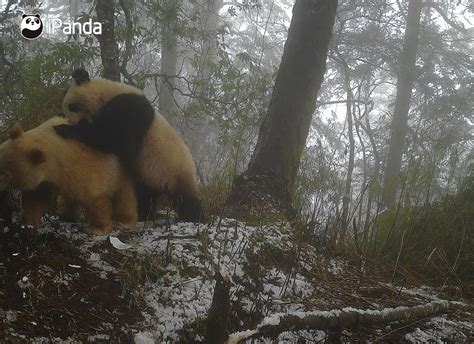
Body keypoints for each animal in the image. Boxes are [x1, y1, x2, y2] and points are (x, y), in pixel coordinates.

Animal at [54, 69, 206, 223]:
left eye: (72, 107)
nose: (76, 122)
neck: (108, 93)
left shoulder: (131, 110)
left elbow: (113, 140)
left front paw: (66, 129)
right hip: (151, 172)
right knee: (146, 194)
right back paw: (145, 215)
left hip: (174, 168)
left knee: (185, 198)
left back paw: (194, 217)